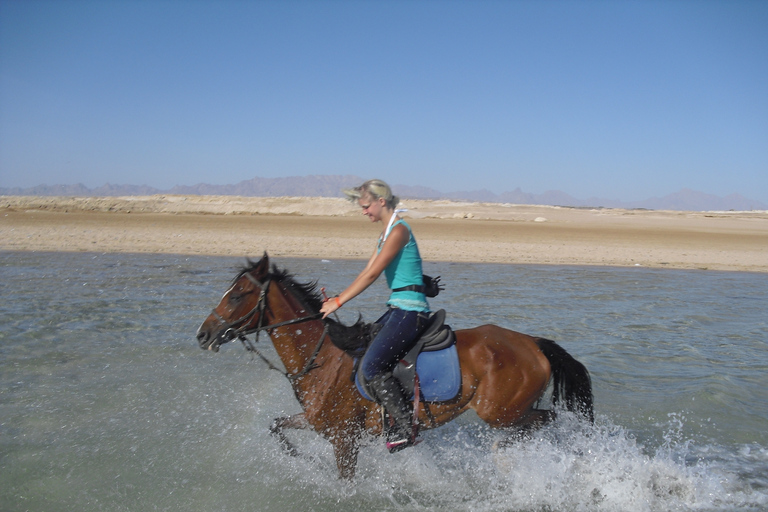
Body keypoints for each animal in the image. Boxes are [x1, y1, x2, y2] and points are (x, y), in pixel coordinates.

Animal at [195, 254, 592, 482]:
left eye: (236, 295)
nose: (203, 334)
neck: (322, 357)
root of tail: (533, 342)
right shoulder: (318, 424)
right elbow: (276, 427)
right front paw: (301, 458)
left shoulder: (344, 440)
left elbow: (346, 483)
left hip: (500, 411)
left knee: (543, 421)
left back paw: (508, 456)